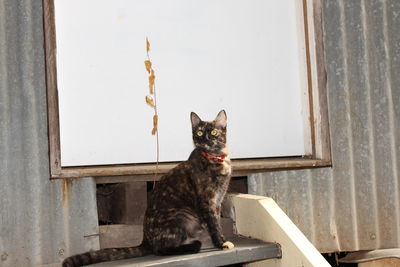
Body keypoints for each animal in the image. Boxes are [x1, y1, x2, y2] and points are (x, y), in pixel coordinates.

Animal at [62, 110, 234, 266]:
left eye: (213, 132)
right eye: (199, 132)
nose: (204, 140)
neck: (215, 158)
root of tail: (145, 238)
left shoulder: (217, 201)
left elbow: (217, 222)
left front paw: (221, 241)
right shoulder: (207, 200)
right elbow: (214, 224)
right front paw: (221, 243)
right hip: (181, 216)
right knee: (159, 249)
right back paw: (193, 246)